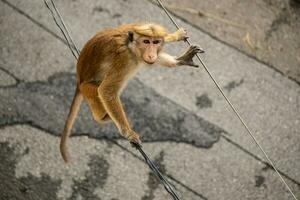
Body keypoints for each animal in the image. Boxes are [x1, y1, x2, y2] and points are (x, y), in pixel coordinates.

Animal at [59, 22, 203, 162]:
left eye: (155, 42)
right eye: (146, 42)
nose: (151, 54)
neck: (131, 47)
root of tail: (79, 80)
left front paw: (175, 35)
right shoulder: (124, 58)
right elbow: (106, 90)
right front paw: (128, 133)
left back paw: (178, 61)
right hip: (88, 89)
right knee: (102, 94)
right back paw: (104, 117)